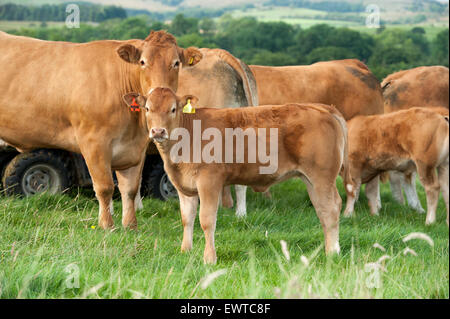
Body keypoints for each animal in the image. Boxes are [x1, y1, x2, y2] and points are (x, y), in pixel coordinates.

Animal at [0, 30, 202, 230]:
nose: (160, 96)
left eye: (176, 63)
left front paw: (130, 225)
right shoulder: (94, 142)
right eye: (143, 62)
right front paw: (106, 225)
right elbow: (105, 187)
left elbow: (130, 189)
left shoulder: (135, 148)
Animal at [123, 88, 352, 264]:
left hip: (322, 177)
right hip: (311, 180)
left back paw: (333, 252)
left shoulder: (209, 181)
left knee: (331, 209)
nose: (158, 131)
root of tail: (323, 107)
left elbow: (206, 220)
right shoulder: (183, 186)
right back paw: (328, 249)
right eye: (147, 108)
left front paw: (209, 258)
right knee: (322, 211)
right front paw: (185, 251)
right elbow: (187, 218)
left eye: (172, 109)